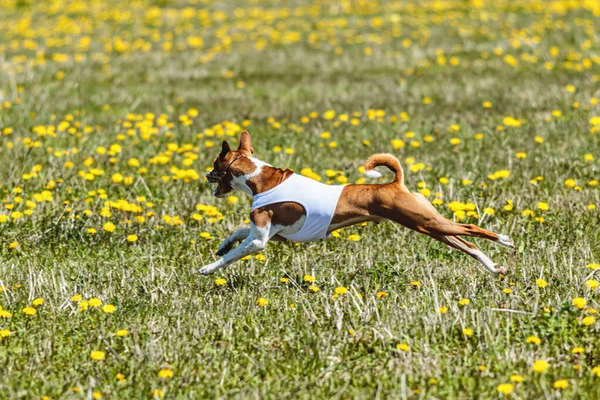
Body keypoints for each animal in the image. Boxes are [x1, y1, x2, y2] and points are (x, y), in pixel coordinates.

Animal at [199, 131, 512, 276]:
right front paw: (222, 245)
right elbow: (238, 232)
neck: (260, 179)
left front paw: (208, 267)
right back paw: (494, 267)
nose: (205, 175)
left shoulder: (260, 241)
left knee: (471, 228)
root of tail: (395, 184)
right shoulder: (273, 234)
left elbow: (233, 255)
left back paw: (505, 240)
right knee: (468, 244)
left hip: (426, 221)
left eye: (215, 164)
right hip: (430, 226)